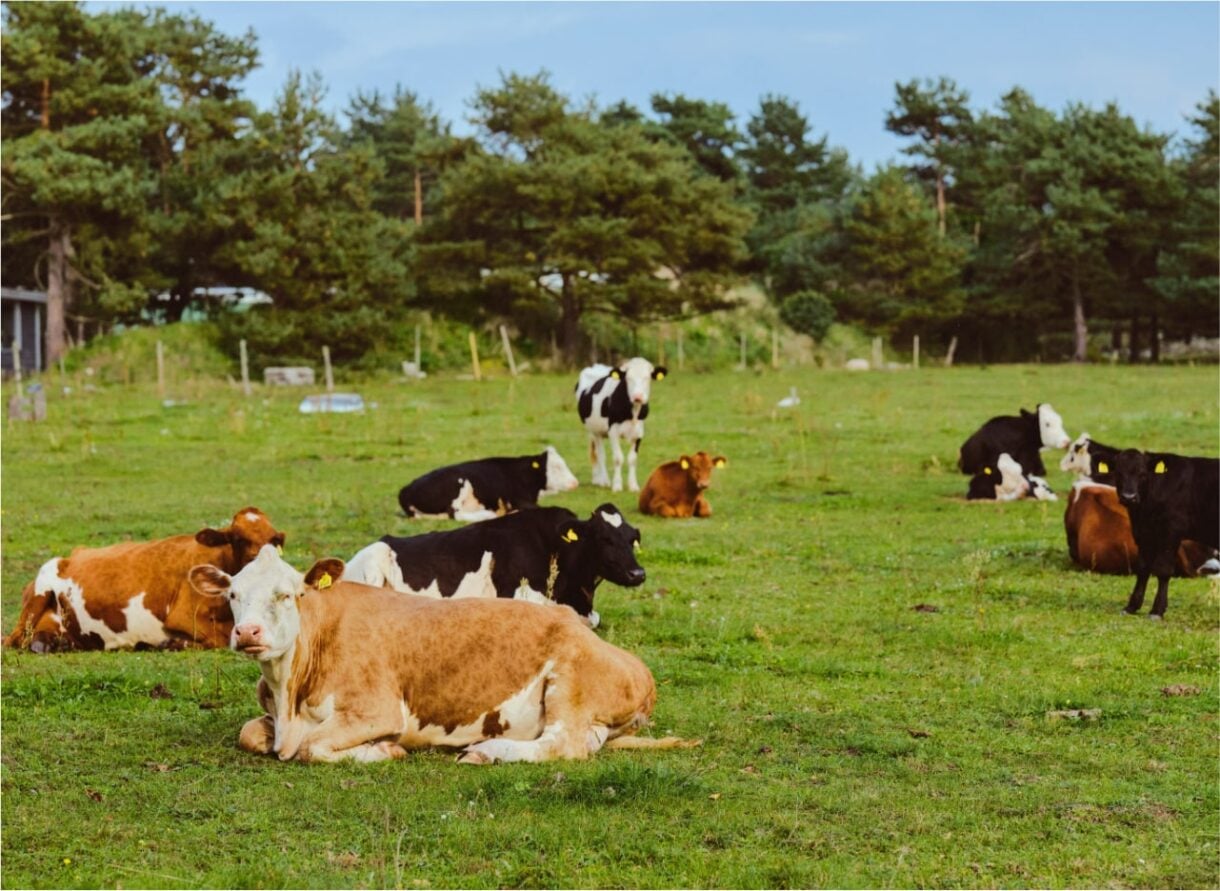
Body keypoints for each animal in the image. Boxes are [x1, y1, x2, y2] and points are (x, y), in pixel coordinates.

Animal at [4, 507, 285, 652]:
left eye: (274, 540)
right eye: (238, 539)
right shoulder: (185, 615)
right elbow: (222, 637)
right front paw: (171, 642)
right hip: (42, 585)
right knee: (12, 639)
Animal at [187, 546, 698, 765]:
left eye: (288, 594)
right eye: (233, 594)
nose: (247, 632)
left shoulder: (377, 709)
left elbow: (313, 747)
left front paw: (383, 750)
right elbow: (250, 734)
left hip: (570, 683)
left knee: (564, 745)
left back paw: (485, 751)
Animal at [397, 446, 579, 522]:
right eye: (557, 467)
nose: (575, 483)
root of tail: (405, 489)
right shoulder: (521, 500)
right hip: (458, 485)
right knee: (455, 514)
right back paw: (488, 514)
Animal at [575, 358, 667, 492]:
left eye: (647, 377)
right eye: (628, 378)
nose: (637, 397)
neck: (633, 412)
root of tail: (597, 366)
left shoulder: (639, 432)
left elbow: (632, 459)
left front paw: (633, 485)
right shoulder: (613, 432)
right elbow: (618, 458)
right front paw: (617, 485)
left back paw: (597, 479)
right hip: (594, 431)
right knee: (599, 454)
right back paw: (603, 481)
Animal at [1112, 448, 1220, 618]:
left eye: (1142, 474)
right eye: (1118, 472)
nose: (1129, 497)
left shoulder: (1171, 532)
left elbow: (1163, 569)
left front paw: (1157, 610)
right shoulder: (1144, 533)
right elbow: (1143, 568)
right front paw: (1131, 606)